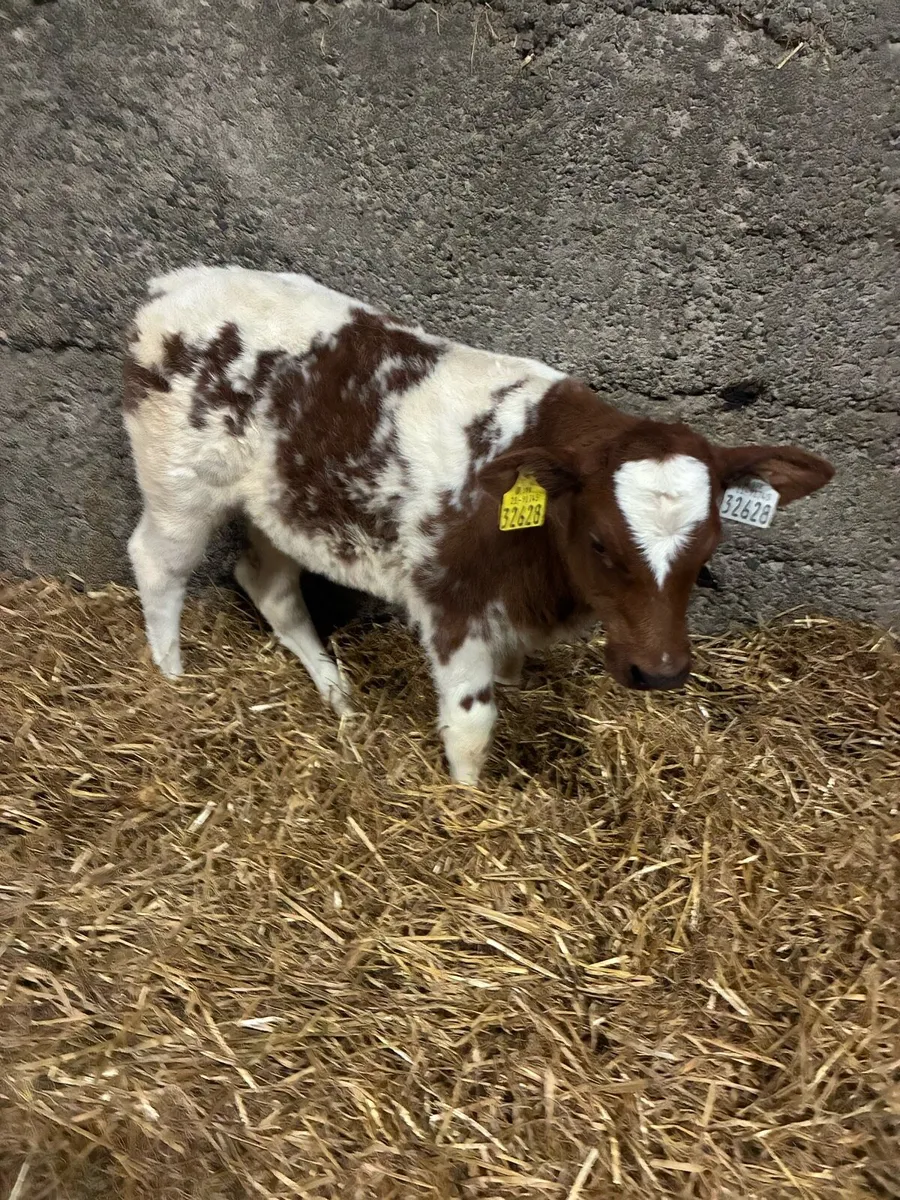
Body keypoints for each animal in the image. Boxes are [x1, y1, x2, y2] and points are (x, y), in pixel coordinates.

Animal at [123, 266, 834, 784]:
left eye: (709, 545)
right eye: (599, 541)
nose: (659, 672)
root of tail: (173, 285)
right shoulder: (450, 600)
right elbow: (472, 723)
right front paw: (466, 804)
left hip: (284, 504)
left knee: (266, 581)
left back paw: (339, 695)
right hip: (179, 485)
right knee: (158, 564)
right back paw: (175, 678)